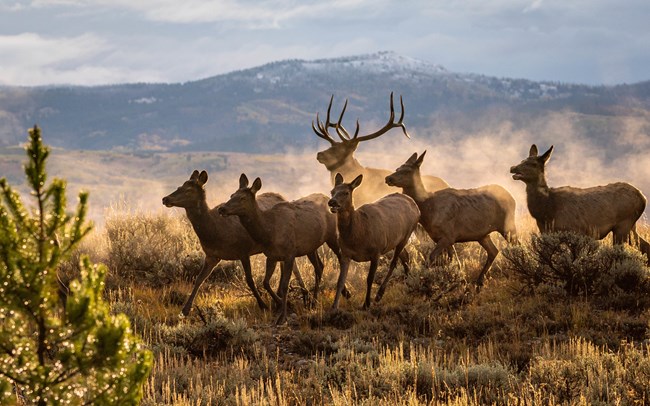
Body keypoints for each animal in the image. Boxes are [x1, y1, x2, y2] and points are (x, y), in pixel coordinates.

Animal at [218, 174, 340, 324]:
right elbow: (265, 282)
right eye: (232, 195)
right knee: (319, 266)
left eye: (242, 198)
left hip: (332, 236)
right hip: (312, 246)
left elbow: (284, 286)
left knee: (340, 259)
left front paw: (283, 316)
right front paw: (282, 303)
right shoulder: (271, 255)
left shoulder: (290, 253)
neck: (268, 231)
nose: (222, 209)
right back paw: (313, 302)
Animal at [326, 173, 418, 310]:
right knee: (405, 256)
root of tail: (414, 204)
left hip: (407, 233)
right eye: (332, 191)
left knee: (394, 262)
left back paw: (380, 294)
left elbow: (369, 279)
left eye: (346, 192)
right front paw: (334, 307)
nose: (332, 202)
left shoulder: (376, 251)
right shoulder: (345, 253)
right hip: (395, 240)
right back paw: (409, 282)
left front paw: (366, 304)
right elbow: (340, 280)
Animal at [384, 151, 516, 288]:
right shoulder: (444, 238)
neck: (427, 208)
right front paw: (456, 280)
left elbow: (431, 259)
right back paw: (479, 282)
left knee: (516, 245)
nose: (388, 178)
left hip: (507, 225)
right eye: (397, 168)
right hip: (482, 235)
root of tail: (512, 197)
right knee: (493, 251)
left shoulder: (448, 236)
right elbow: (452, 261)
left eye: (407, 171)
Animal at [508, 144, 644, 262]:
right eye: (522, 160)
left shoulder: (574, 231)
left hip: (623, 224)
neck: (547, 210)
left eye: (533, 164)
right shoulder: (545, 231)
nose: (513, 168)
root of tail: (643, 198)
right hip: (631, 227)